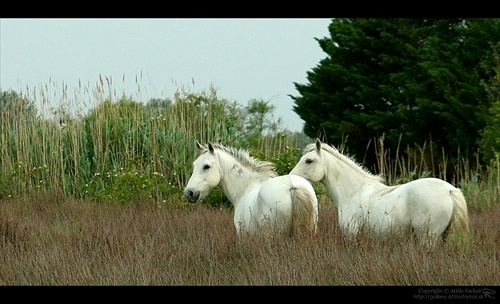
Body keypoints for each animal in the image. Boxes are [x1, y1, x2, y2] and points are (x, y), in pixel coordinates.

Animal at [292, 139, 470, 246]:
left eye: (309, 161)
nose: (291, 176)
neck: (353, 191)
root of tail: (449, 189)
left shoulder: (352, 234)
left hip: (428, 238)